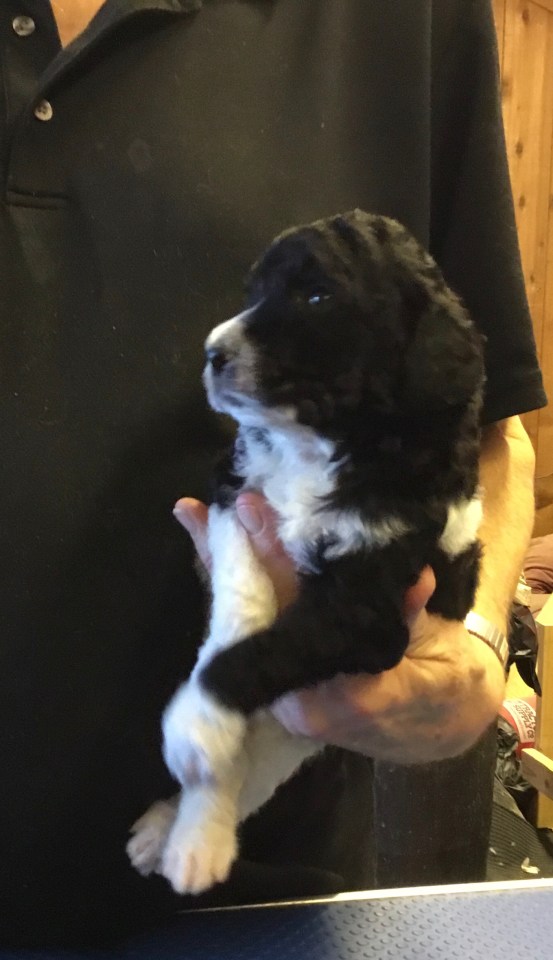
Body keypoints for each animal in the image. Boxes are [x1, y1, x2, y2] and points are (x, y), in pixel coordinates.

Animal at [127, 209, 485, 896]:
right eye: (254, 291)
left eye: (317, 297)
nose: (212, 353)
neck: (315, 445)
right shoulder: (234, 492)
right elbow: (242, 603)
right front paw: (202, 717)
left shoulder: (368, 615)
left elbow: (269, 649)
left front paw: (195, 722)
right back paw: (177, 831)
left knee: (262, 765)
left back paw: (190, 840)